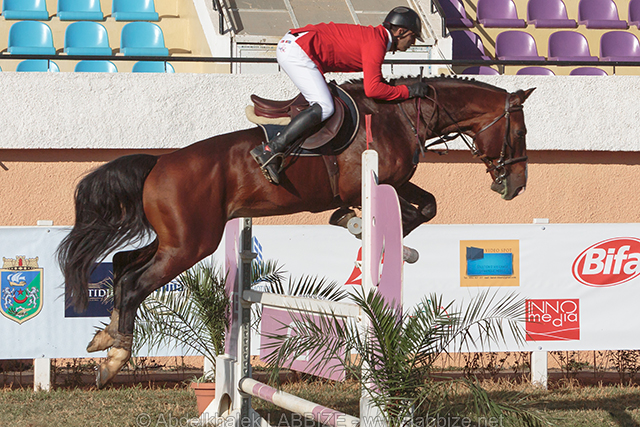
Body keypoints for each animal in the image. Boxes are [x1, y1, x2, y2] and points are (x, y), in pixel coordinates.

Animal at [57, 76, 534, 388]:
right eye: (520, 131)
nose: (517, 185)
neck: (399, 114)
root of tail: (158, 162)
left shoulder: (396, 181)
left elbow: (429, 204)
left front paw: (369, 232)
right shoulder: (374, 182)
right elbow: (403, 211)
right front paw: (358, 226)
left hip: (175, 240)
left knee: (123, 265)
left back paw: (105, 335)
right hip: (189, 244)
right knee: (136, 283)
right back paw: (115, 357)